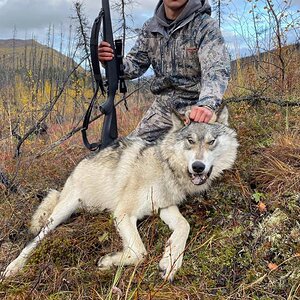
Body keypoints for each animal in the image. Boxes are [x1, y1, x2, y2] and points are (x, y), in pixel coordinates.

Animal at [1, 108, 238, 282]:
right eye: (190, 141)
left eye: (211, 141)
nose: (198, 167)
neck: (166, 167)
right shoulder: (123, 214)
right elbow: (140, 252)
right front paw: (108, 262)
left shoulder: (163, 207)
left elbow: (184, 226)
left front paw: (171, 262)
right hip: (59, 214)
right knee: (33, 242)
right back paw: (13, 268)